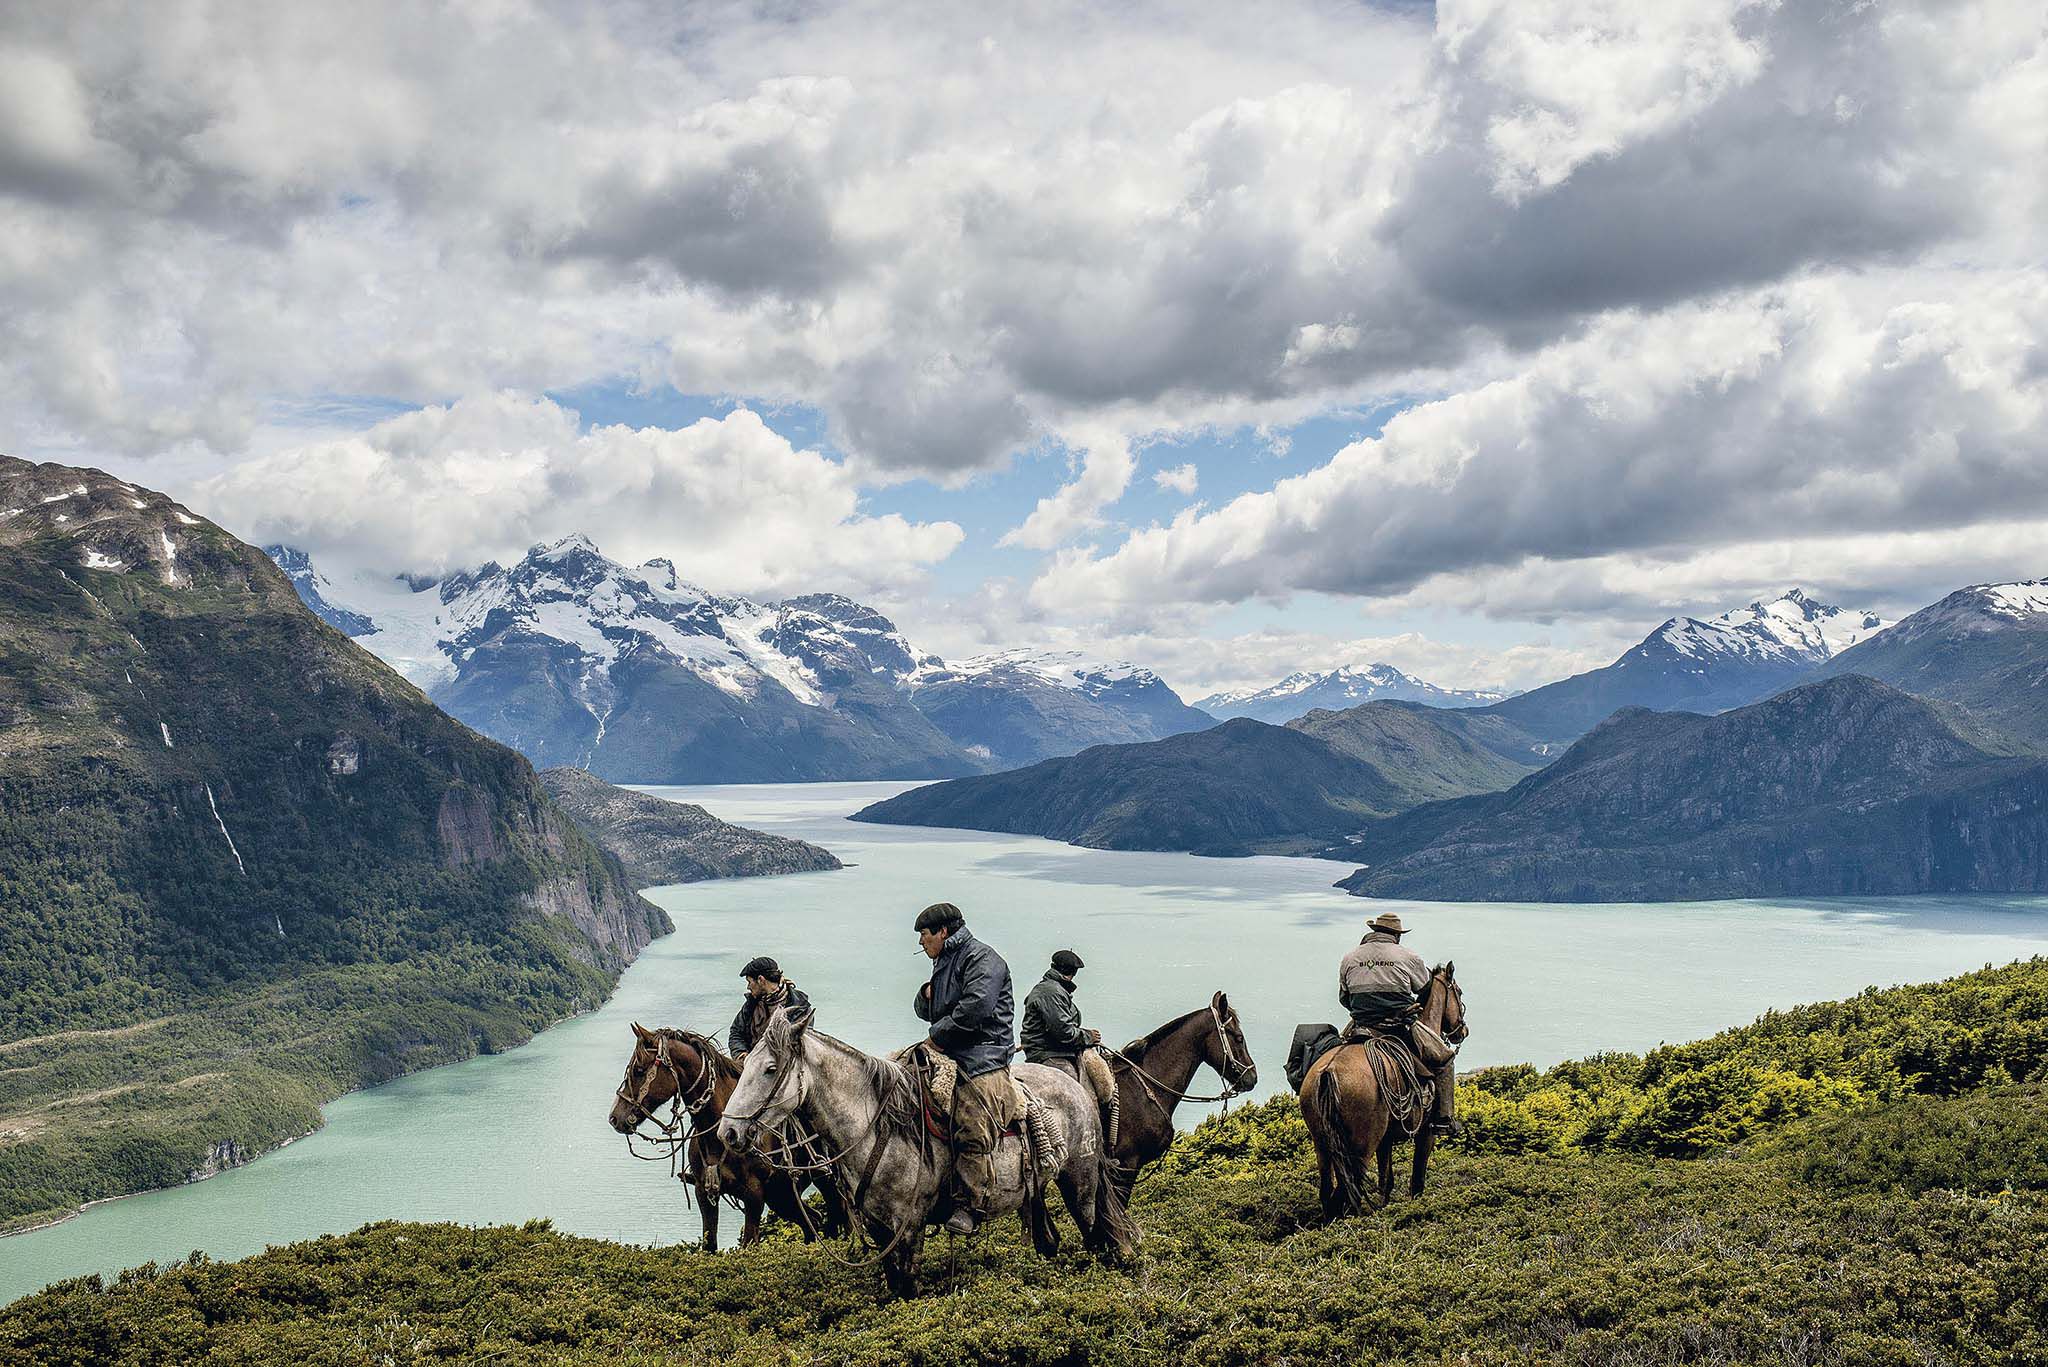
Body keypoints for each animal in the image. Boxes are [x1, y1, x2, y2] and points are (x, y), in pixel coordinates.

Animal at [602, 1016, 843, 1254]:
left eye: (639, 1070)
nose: (615, 1118)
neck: (718, 1136)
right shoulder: (704, 1194)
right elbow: (709, 1245)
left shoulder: (754, 1195)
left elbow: (749, 1243)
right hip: (782, 1194)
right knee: (813, 1222)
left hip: (822, 1182)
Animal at [716, 1012, 1138, 1303]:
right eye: (746, 1064)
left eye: (771, 1069)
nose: (728, 1133)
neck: (878, 1126)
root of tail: (1077, 1088)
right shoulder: (879, 1229)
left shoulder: (909, 1227)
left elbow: (907, 1287)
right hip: (1033, 1193)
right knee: (1049, 1239)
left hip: (1080, 1183)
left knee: (1095, 1234)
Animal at [1302, 963, 1466, 1221]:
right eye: (1458, 992)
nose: (1463, 1030)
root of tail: (1329, 1071)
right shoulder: (1425, 1134)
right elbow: (1417, 1178)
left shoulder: (1385, 1140)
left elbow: (1386, 1180)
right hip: (1361, 1146)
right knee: (1349, 1189)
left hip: (1323, 1145)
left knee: (1329, 1190)